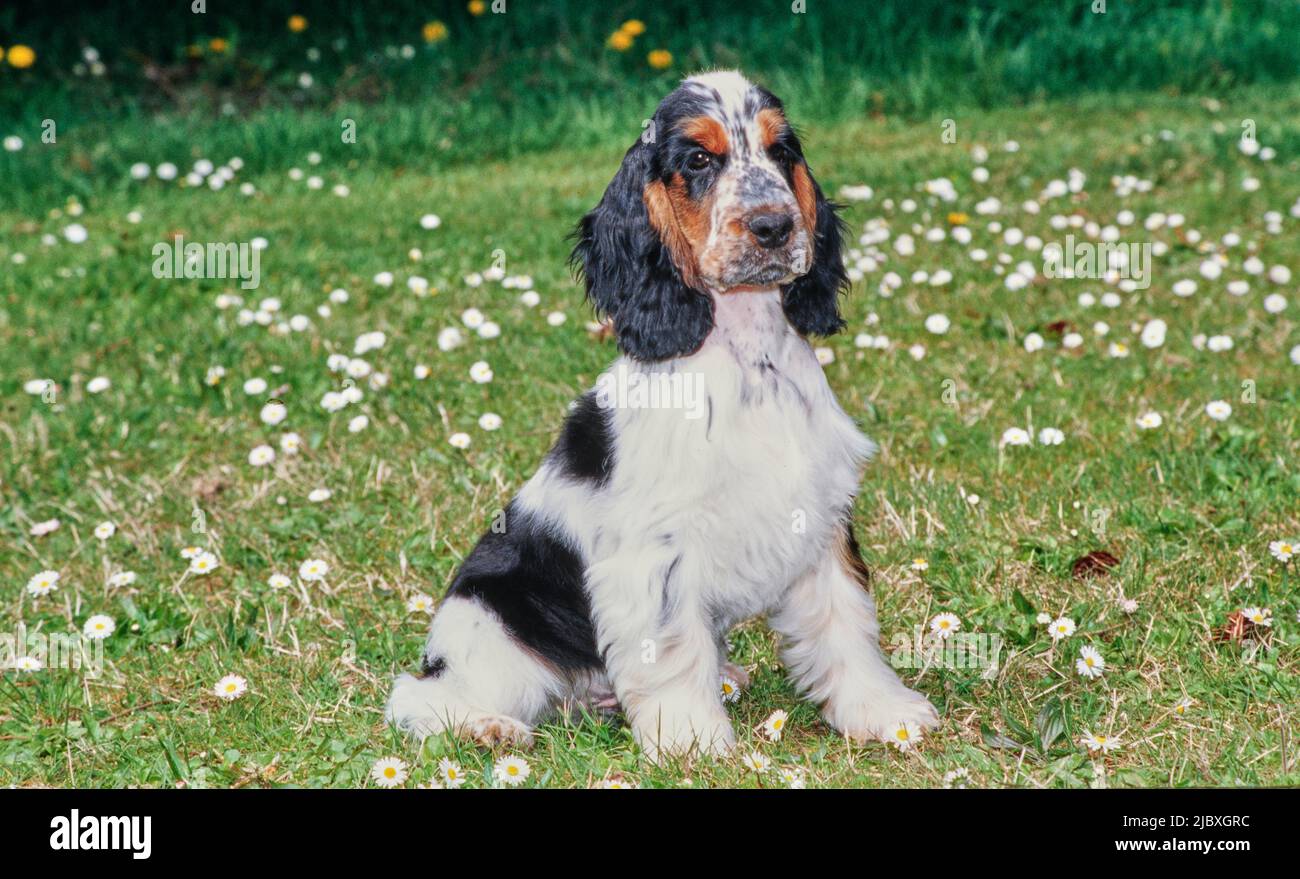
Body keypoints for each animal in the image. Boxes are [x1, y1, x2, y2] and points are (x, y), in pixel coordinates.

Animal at [379, 70, 941, 764]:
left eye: (782, 152)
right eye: (698, 160)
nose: (774, 226)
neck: (749, 357)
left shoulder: (820, 516)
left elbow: (846, 625)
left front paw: (886, 715)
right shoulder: (656, 551)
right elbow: (672, 646)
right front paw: (691, 742)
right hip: (495, 622)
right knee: (420, 694)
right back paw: (488, 727)